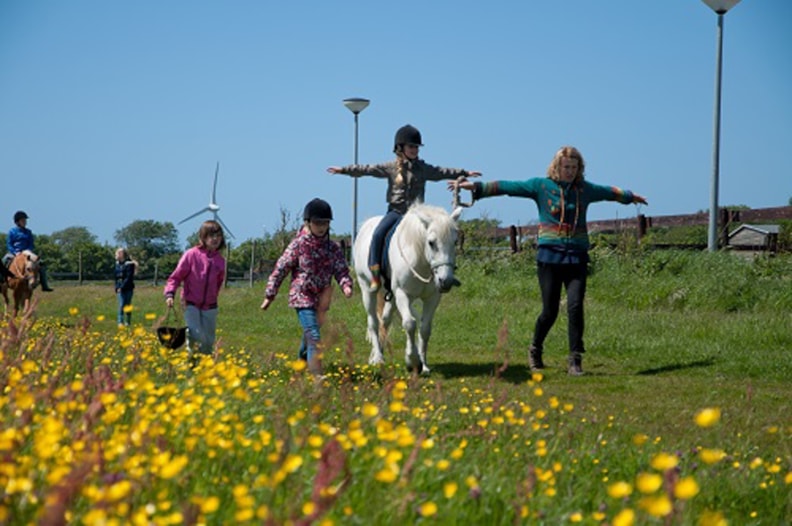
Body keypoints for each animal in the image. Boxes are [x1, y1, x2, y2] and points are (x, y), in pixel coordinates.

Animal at [354, 203, 463, 375]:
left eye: (455, 241)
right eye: (431, 242)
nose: (445, 281)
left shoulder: (432, 297)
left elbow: (425, 328)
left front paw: (423, 364)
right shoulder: (402, 294)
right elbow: (410, 324)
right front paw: (412, 360)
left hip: (391, 297)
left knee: (385, 320)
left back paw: (380, 352)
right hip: (367, 290)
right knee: (373, 322)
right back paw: (378, 358)